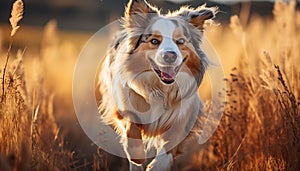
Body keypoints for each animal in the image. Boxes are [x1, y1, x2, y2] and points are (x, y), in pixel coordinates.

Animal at [97, 0, 217, 170]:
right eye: (154, 41)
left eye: (180, 42)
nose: (170, 56)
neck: (160, 89)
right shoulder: (124, 106)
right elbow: (131, 127)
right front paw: (137, 155)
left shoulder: (182, 119)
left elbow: (168, 148)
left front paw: (156, 166)